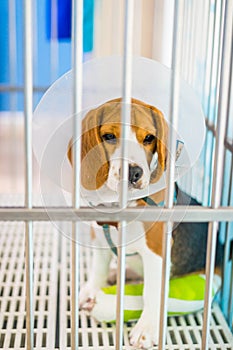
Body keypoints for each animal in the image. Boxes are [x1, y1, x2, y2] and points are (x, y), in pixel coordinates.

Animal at [67, 98, 222, 350]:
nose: (134, 173)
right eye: (109, 136)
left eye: (149, 138)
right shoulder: (99, 237)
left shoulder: (156, 252)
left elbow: (151, 291)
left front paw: (147, 328)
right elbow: (98, 267)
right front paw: (91, 290)